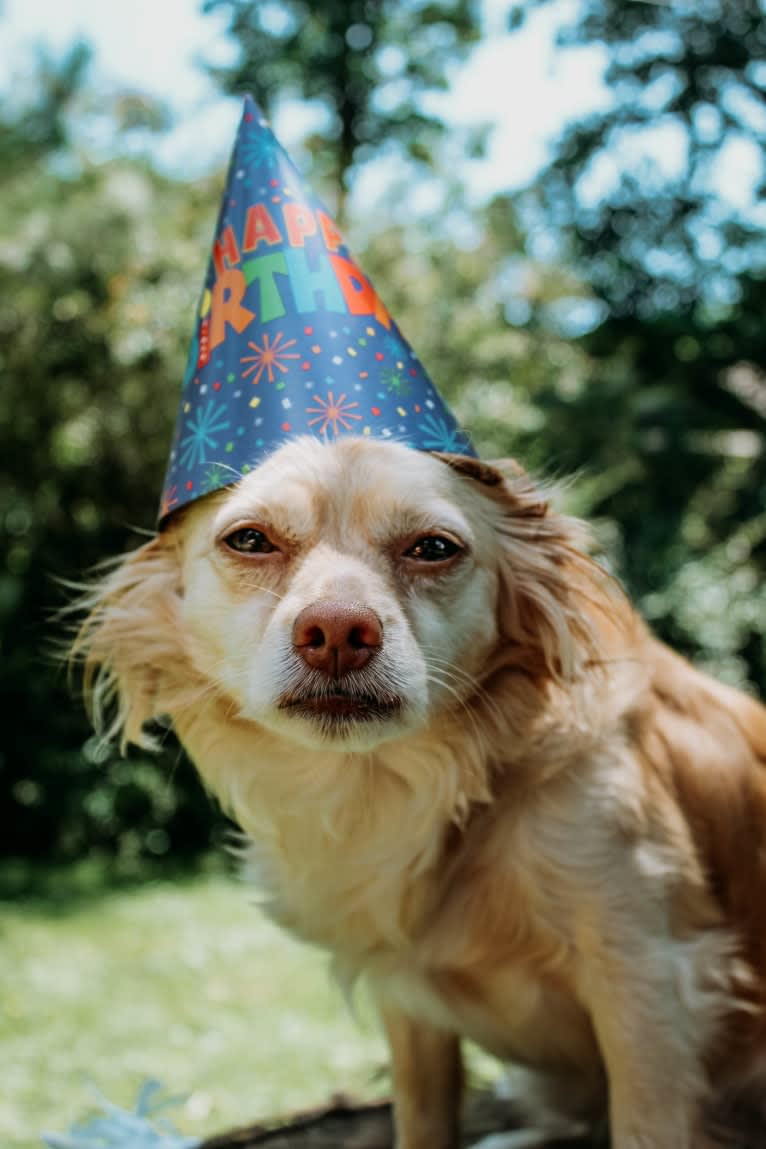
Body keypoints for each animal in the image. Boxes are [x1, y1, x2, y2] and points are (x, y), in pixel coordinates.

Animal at [74, 436, 766, 1149]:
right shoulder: (407, 996)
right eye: (250, 540)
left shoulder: (649, 977)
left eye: (433, 548)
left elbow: (645, 1125)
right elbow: (422, 1112)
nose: (337, 634)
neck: (407, 787)